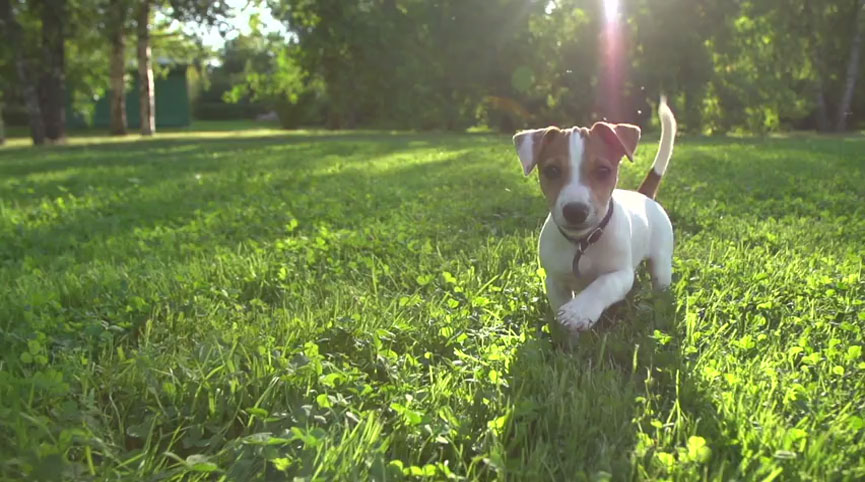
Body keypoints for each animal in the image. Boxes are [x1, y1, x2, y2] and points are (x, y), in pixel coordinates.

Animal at [512, 96, 676, 334]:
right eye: (552, 171)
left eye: (603, 171)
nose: (575, 211)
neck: (583, 243)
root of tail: (644, 196)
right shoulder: (554, 281)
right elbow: (560, 307)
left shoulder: (621, 274)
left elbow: (603, 284)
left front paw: (579, 310)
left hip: (661, 264)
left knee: (660, 284)